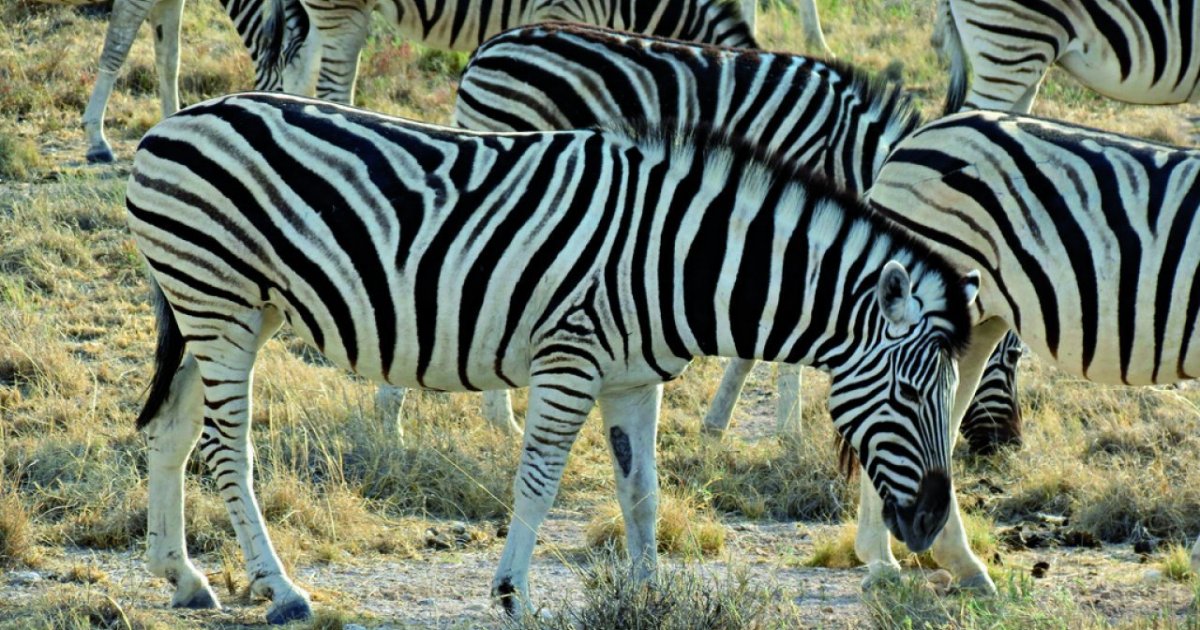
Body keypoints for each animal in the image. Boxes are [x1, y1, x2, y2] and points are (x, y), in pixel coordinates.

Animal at [126, 91, 977, 622]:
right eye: (911, 395)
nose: (934, 520)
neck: (675, 255)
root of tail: (170, 126)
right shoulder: (570, 361)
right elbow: (538, 483)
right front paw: (512, 595)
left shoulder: (633, 381)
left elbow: (641, 492)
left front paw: (648, 593)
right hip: (222, 304)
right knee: (225, 451)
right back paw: (281, 591)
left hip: (222, 311)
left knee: (171, 435)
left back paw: (183, 579)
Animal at [453, 22, 1023, 452]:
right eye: (1010, 356)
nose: (1004, 446)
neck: (852, 158)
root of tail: (489, 47)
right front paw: (787, 429)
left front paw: (719, 422)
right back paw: (499, 421)